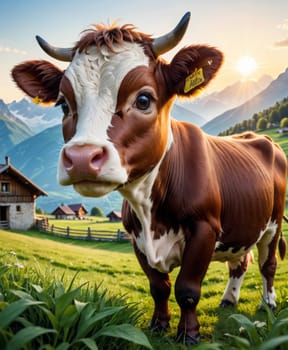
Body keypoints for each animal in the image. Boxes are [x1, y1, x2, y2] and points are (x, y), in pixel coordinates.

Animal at [11, 13, 286, 344]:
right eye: (64, 103)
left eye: (143, 99)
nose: (81, 158)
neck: (151, 210)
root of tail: (256, 137)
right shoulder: (136, 236)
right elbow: (159, 287)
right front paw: (158, 325)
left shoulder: (205, 228)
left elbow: (187, 289)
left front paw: (188, 334)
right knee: (240, 262)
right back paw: (229, 299)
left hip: (273, 223)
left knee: (267, 264)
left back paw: (268, 303)